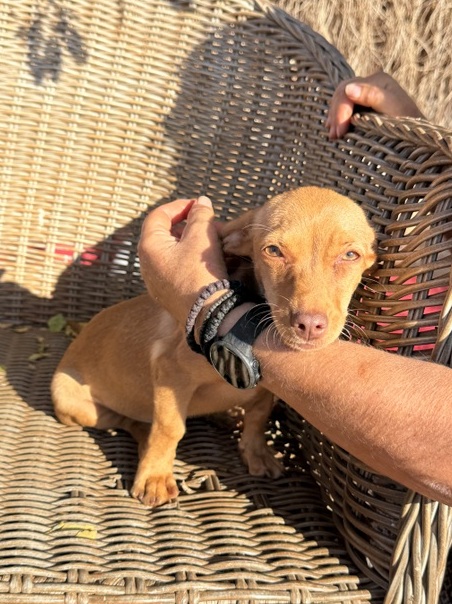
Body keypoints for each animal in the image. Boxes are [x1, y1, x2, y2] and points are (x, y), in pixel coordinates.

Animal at [51, 186, 376, 507]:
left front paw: (256, 452)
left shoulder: (266, 389)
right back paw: (146, 434)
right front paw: (155, 475)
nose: (309, 325)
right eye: (273, 251)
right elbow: (170, 427)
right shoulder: (170, 371)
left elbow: (259, 415)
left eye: (351, 255)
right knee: (127, 420)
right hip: (74, 404)